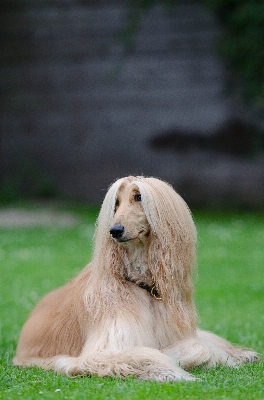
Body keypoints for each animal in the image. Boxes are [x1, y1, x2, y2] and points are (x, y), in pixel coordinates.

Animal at [13, 176, 258, 382]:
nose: (115, 230)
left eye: (138, 196)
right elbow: (161, 352)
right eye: (116, 202)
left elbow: (198, 343)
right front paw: (174, 370)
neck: (139, 283)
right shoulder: (102, 350)